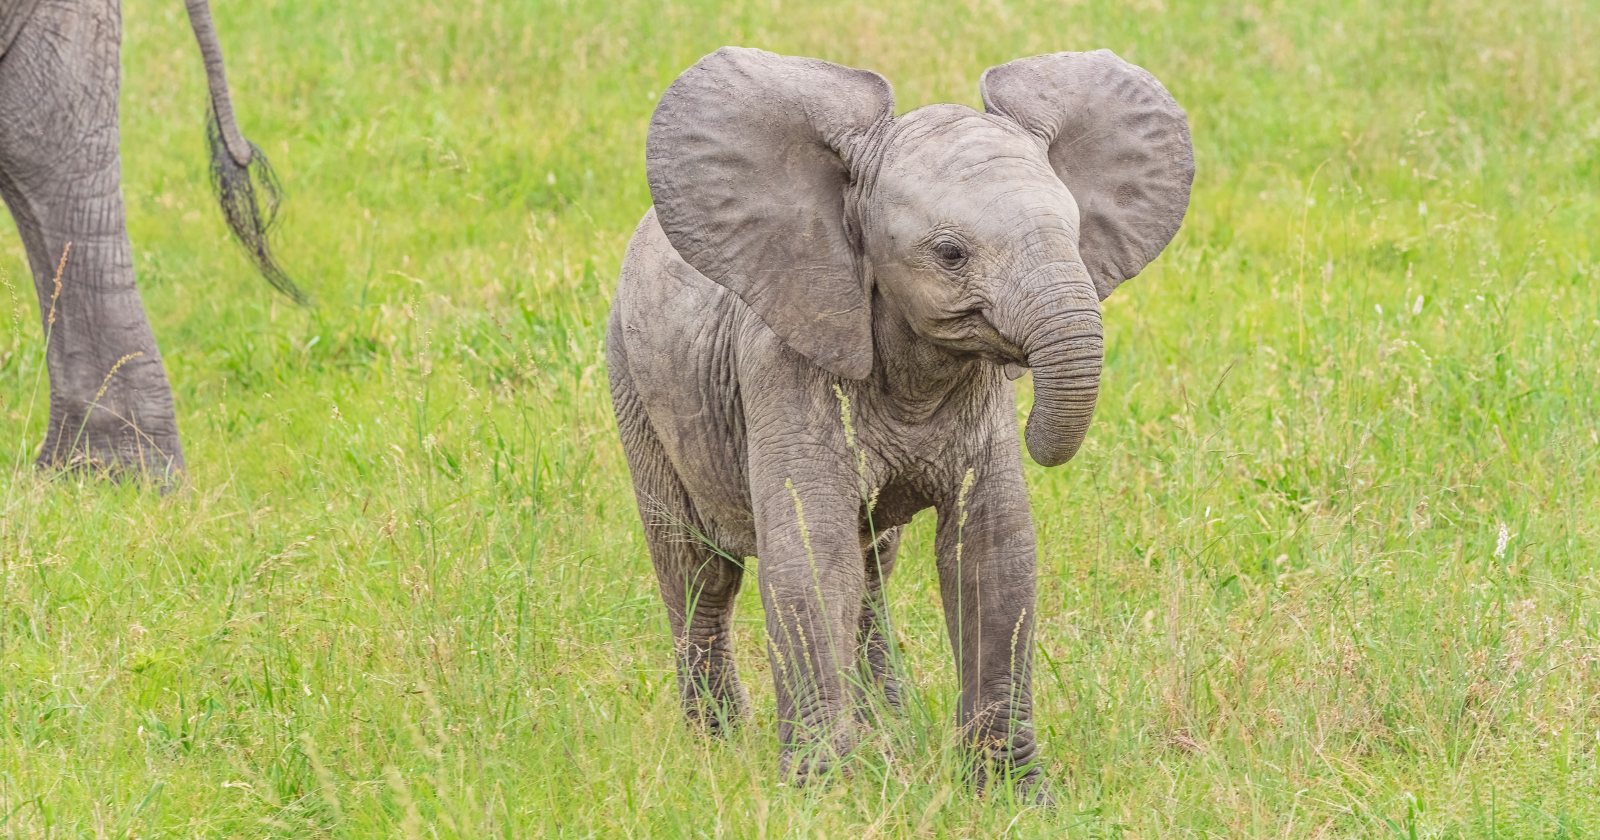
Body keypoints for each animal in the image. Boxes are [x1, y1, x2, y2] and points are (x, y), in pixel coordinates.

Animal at [607, 47, 1193, 795]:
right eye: (950, 254)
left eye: (1076, 234)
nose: (1037, 428)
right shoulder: (785, 366)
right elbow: (810, 553)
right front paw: (824, 793)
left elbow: (993, 555)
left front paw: (1014, 795)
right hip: (632, 379)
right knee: (698, 572)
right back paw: (717, 744)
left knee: (871, 573)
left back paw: (888, 729)